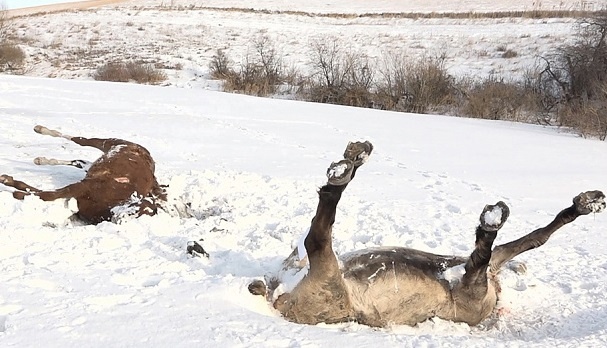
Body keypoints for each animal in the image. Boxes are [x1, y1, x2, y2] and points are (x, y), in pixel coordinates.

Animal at [0, 125, 166, 223]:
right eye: (143, 208)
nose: (121, 219)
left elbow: (41, 194)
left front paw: (9, 183)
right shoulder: (85, 185)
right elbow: (49, 195)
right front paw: (10, 184)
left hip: (93, 164)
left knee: (78, 161)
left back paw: (41, 160)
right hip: (108, 142)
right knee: (81, 141)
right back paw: (40, 130)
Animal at [248, 141, 607, 326]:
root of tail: (276, 295)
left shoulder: (480, 277)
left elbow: (529, 239)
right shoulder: (480, 278)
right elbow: (527, 240)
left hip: (323, 276)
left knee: (317, 235)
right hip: (327, 276)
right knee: (319, 229)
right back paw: (349, 163)